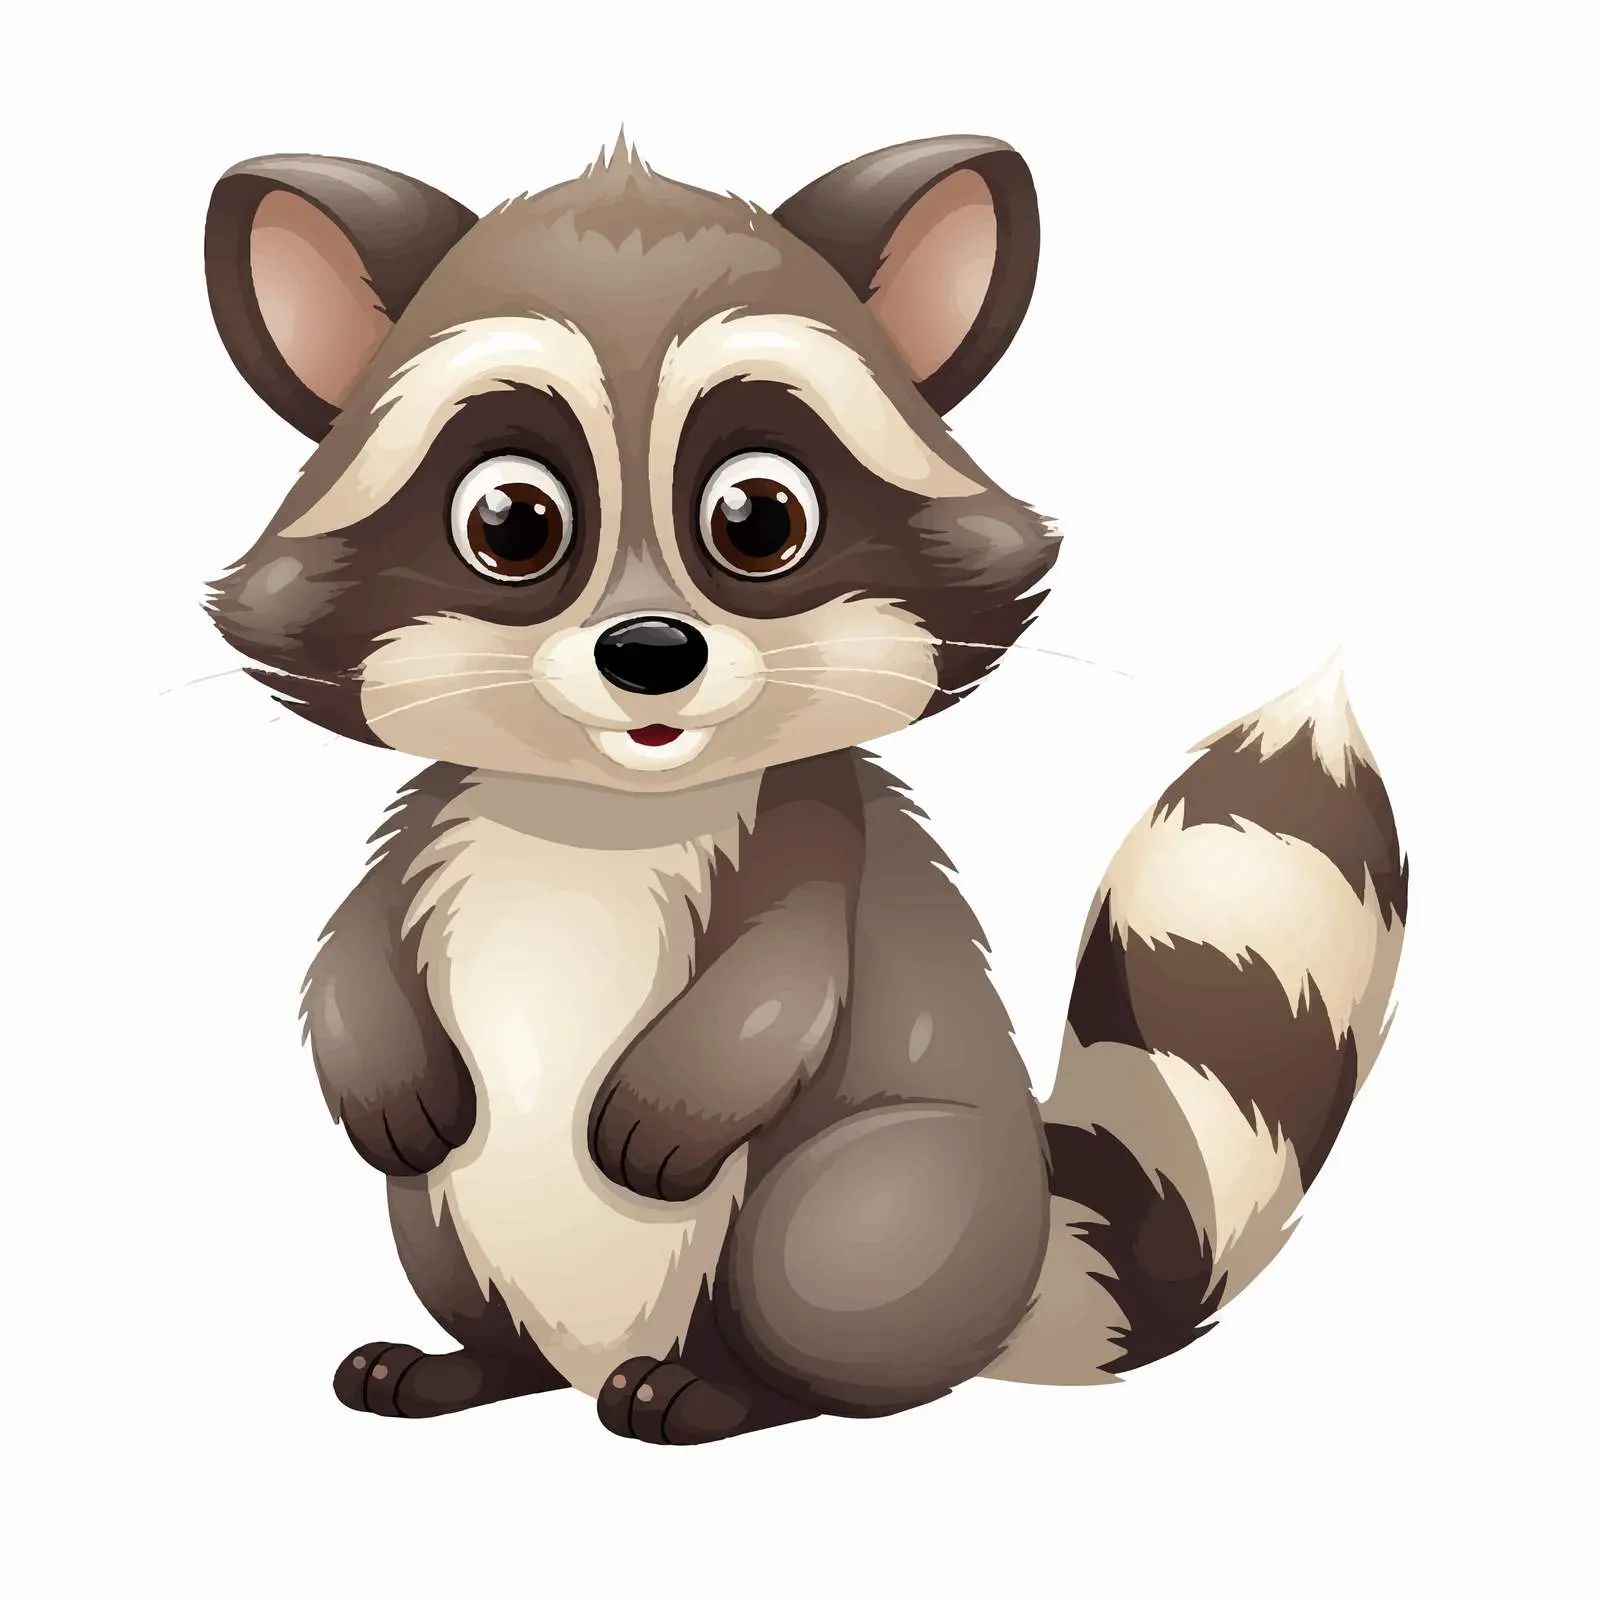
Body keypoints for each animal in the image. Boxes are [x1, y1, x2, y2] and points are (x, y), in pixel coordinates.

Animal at [202, 134, 1407, 1443]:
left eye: (758, 518)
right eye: (511, 523)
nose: (649, 651)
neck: (609, 806)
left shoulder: (815, 829)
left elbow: (787, 969)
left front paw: (685, 1092)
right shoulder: (433, 819)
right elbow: (354, 936)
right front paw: (368, 1054)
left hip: (893, 1210)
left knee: (833, 1250)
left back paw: (725, 1391)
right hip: (442, 1216)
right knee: (446, 1227)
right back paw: (468, 1365)